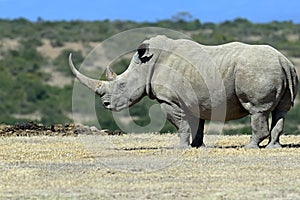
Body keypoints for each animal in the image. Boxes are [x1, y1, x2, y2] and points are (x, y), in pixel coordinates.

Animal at [68, 35, 298, 148]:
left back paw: (249, 147)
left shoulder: (169, 100)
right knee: (281, 110)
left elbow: (181, 125)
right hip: (280, 70)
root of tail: (284, 61)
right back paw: (273, 147)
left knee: (257, 110)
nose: (105, 104)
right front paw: (197, 147)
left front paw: (180, 148)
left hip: (257, 69)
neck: (146, 66)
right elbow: (197, 125)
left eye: (122, 85)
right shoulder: (197, 99)